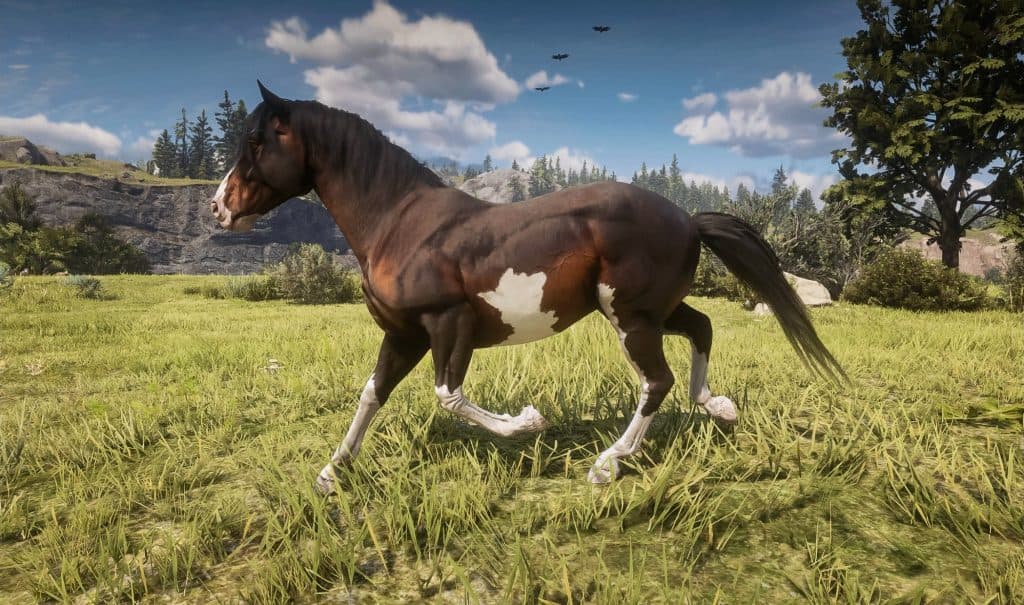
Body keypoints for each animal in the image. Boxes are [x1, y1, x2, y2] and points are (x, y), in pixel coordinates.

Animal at [211, 82, 845, 493]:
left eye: (257, 141)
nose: (218, 206)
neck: (402, 222)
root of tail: (688, 220)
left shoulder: (448, 322)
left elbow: (448, 395)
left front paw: (529, 423)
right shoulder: (404, 334)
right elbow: (372, 394)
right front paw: (331, 473)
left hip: (631, 317)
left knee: (655, 382)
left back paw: (608, 464)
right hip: (652, 310)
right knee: (702, 330)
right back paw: (719, 407)